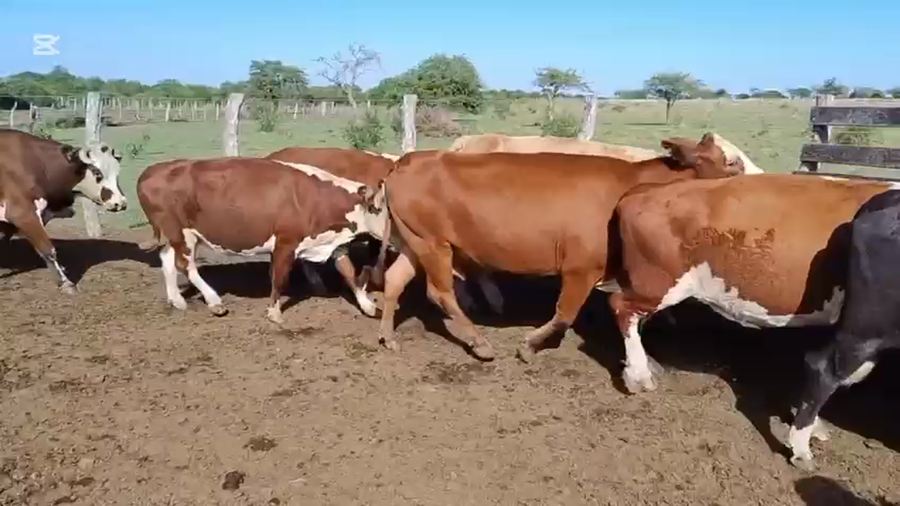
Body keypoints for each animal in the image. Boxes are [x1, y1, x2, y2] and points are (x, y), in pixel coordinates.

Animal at [0, 130, 128, 293]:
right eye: (97, 173)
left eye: (117, 173)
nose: (121, 202)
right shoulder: (24, 215)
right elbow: (48, 249)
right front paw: (65, 282)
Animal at [136, 156, 385, 322]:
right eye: (385, 210)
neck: (319, 199)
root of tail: (154, 170)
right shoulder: (285, 243)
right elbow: (279, 278)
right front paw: (274, 312)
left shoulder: (333, 243)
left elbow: (350, 274)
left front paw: (368, 305)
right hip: (181, 232)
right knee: (184, 265)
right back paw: (214, 301)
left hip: (180, 235)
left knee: (167, 259)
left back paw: (177, 300)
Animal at [368, 133, 760, 361]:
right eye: (732, 162)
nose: (765, 183)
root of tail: (411, 159)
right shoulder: (581, 268)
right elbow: (564, 314)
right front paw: (529, 345)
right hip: (434, 244)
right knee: (440, 292)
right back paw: (478, 342)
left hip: (416, 241)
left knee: (395, 279)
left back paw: (388, 336)